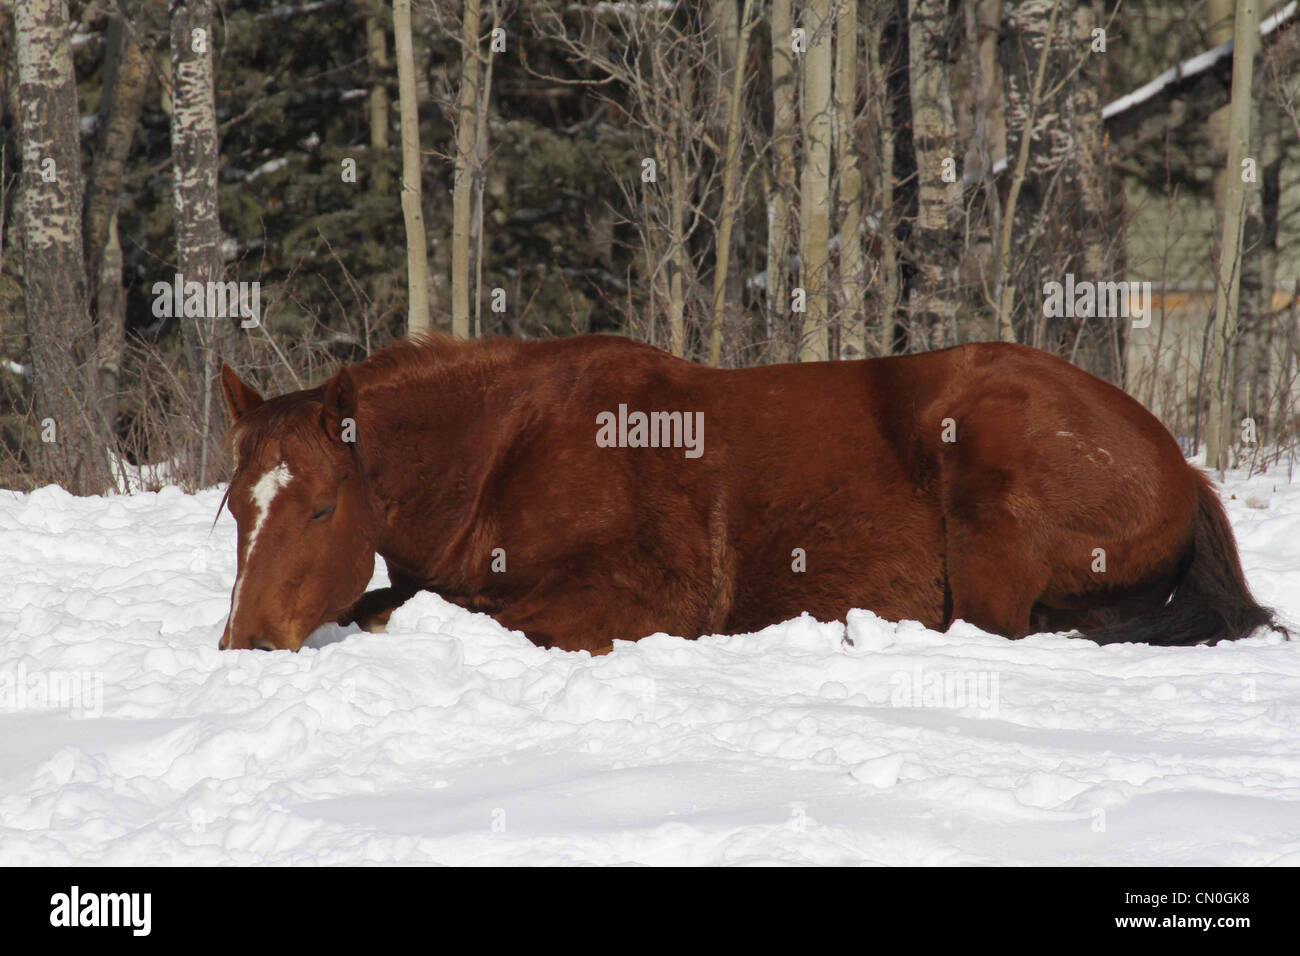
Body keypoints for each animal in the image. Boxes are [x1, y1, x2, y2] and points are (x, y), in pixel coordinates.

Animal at [216, 334, 1278, 654]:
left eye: (322, 507)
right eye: (237, 506)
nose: (246, 643)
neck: (508, 448)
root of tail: (1177, 464)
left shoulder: (633, 599)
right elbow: (387, 599)